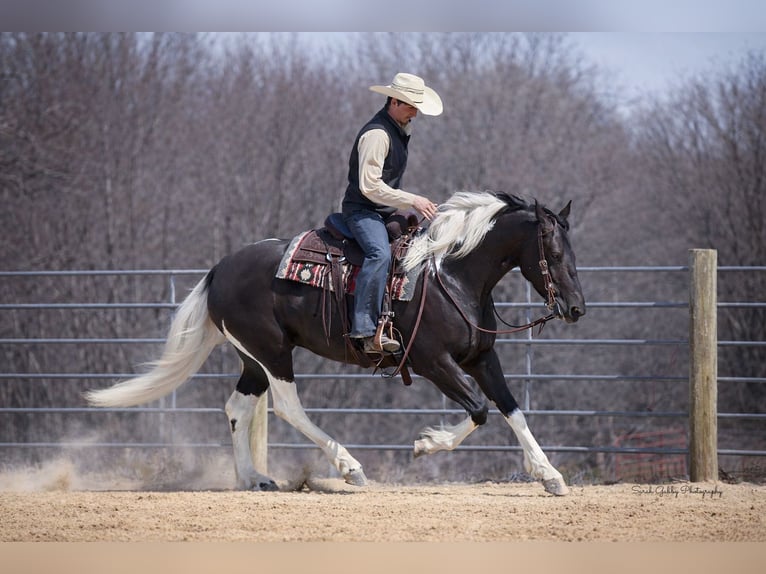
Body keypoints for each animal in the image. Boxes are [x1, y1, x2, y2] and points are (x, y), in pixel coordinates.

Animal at [85, 191, 586, 496]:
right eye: (554, 252)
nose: (576, 308)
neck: (451, 274)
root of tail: (219, 270)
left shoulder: (482, 356)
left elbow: (511, 409)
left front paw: (551, 476)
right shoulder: (433, 361)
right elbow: (480, 410)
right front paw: (425, 445)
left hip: (253, 358)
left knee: (238, 407)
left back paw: (254, 478)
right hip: (273, 352)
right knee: (287, 407)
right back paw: (349, 467)